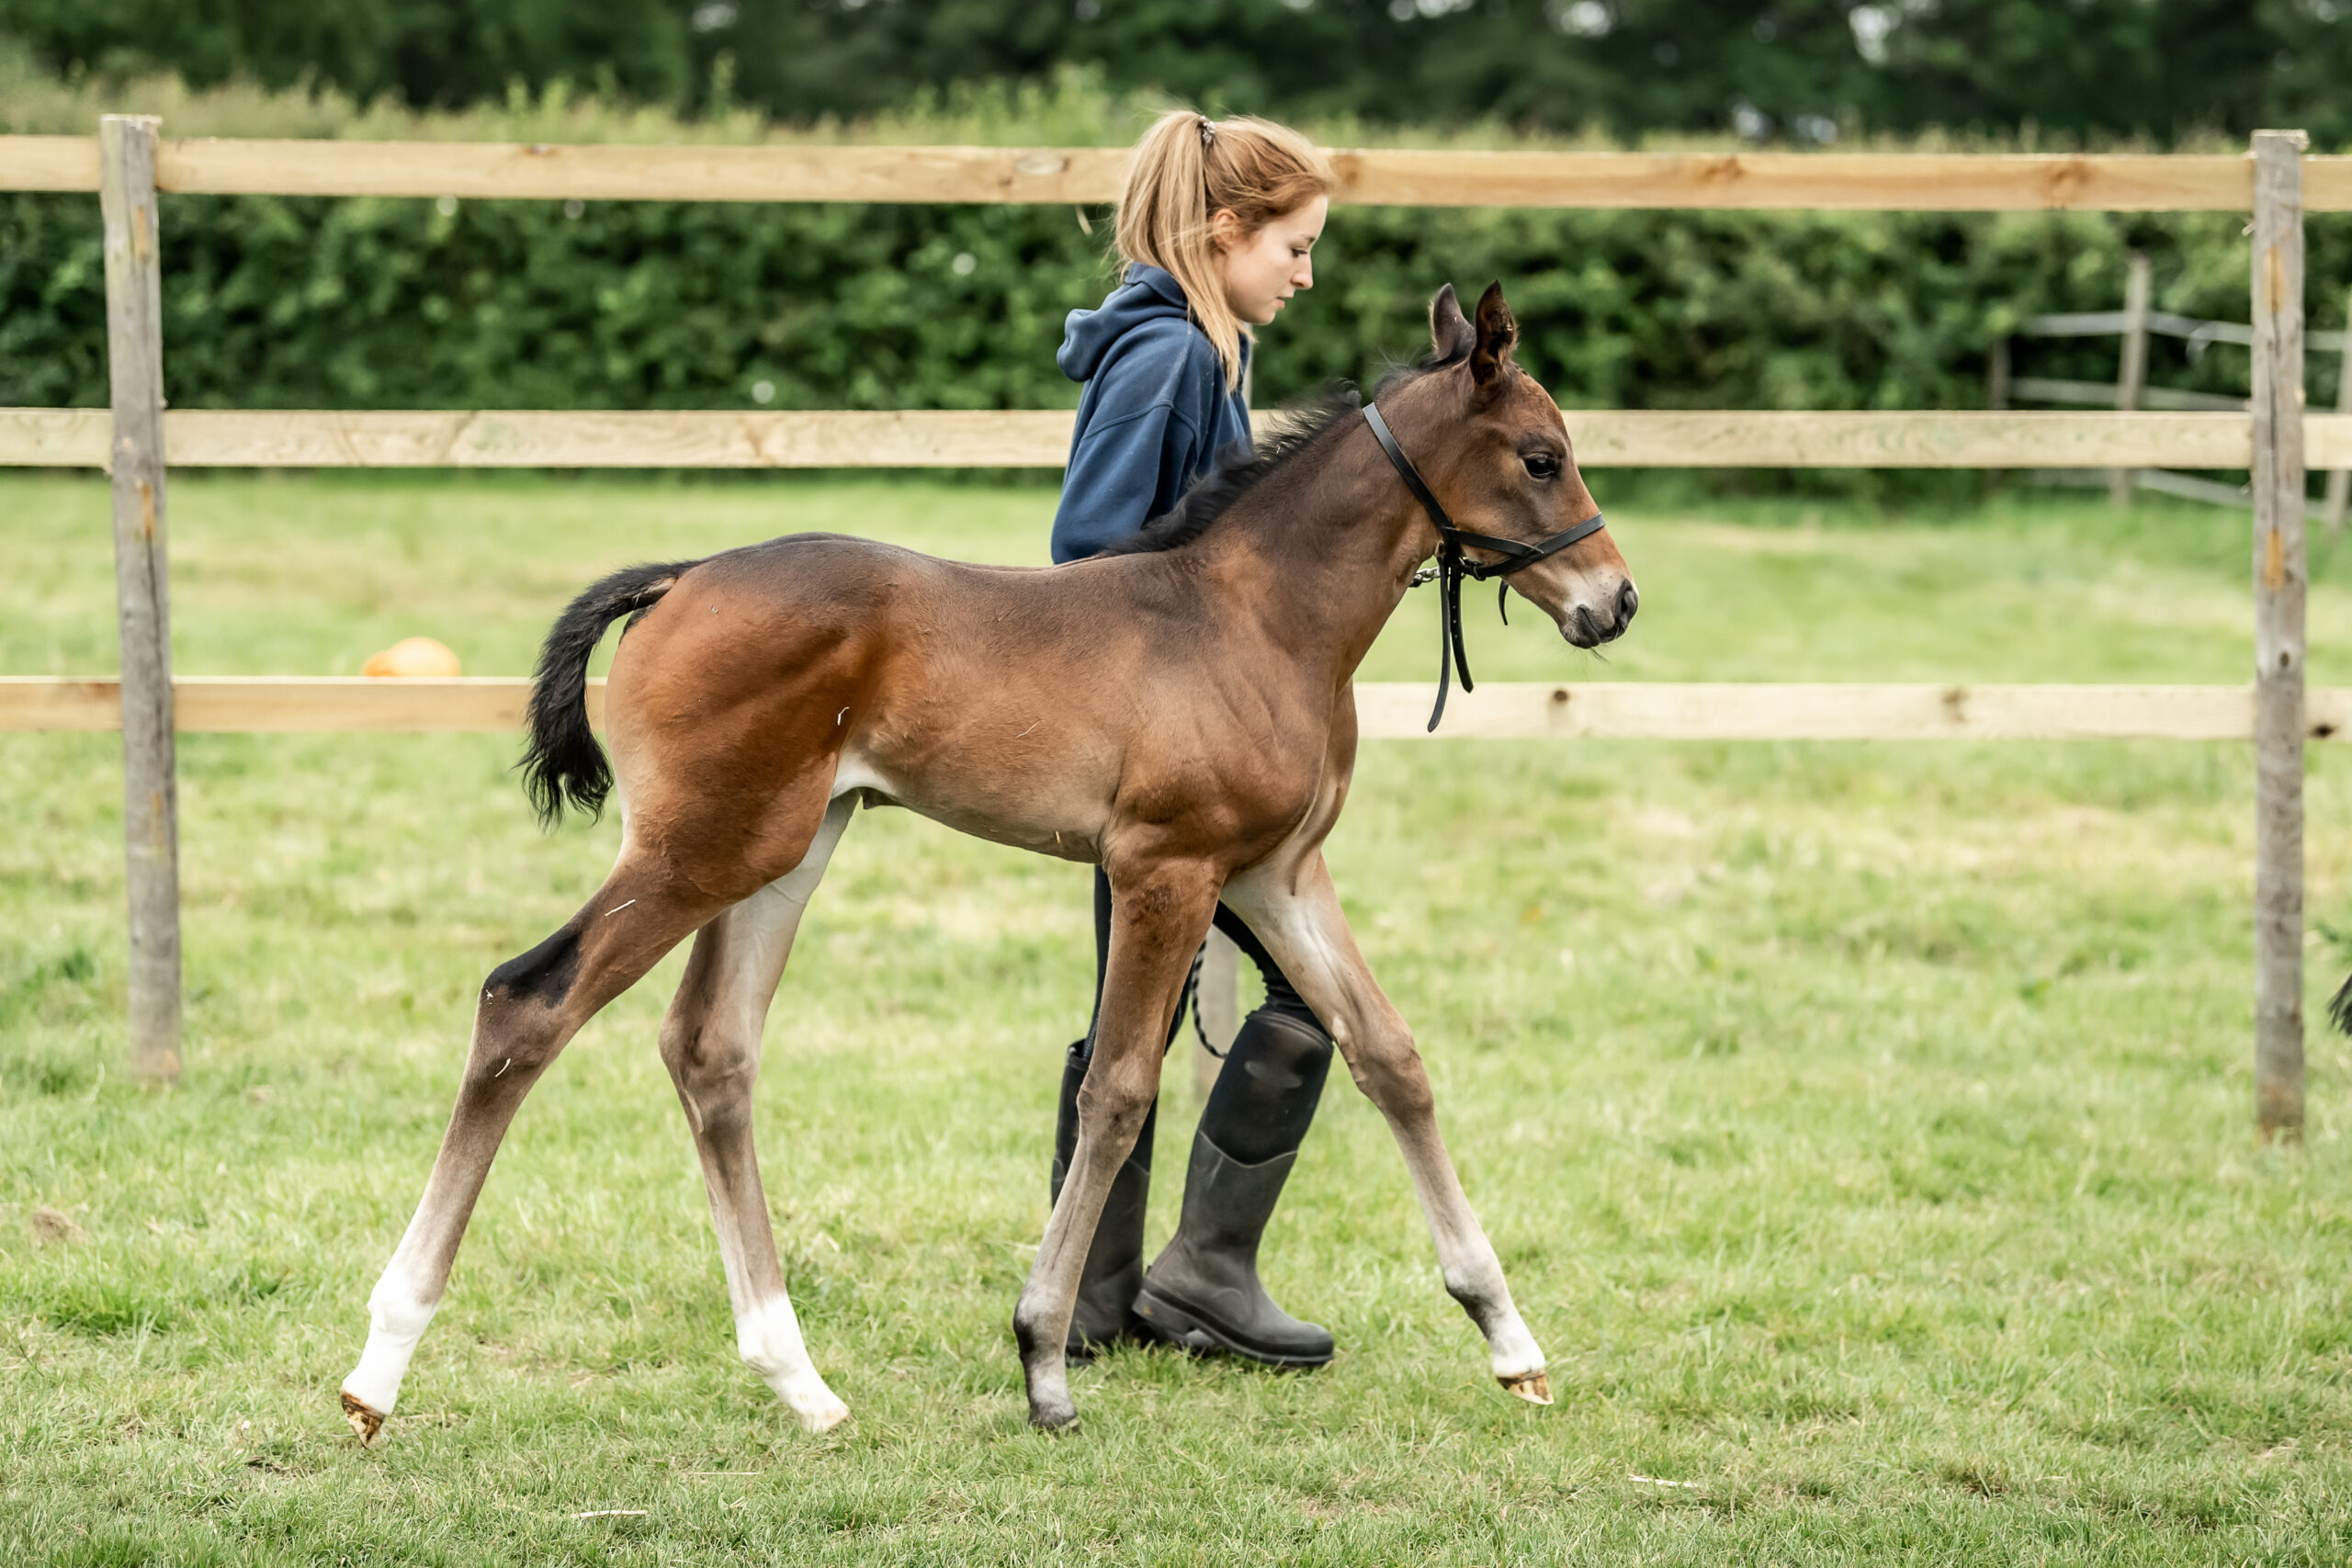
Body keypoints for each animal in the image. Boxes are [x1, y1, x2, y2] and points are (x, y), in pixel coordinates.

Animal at [337, 281, 1638, 1441]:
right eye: (1539, 457)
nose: (1615, 601)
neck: (1254, 622)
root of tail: (682, 577)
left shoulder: (1277, 875)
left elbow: (1389, 1058)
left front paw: (1510, 1342)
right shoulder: (1168, 870)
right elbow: (1118, 1092)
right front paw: (1043, 1364)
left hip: (783, 852)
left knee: (710, 1051)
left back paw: (799, 1383)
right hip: (697, 851)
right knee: (527, 1003)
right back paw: (379, 1369)